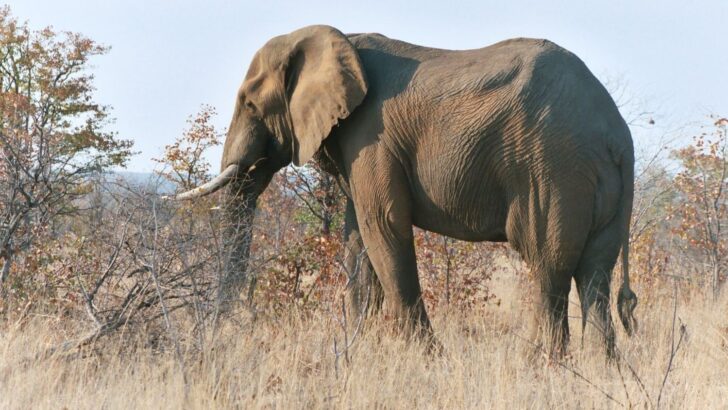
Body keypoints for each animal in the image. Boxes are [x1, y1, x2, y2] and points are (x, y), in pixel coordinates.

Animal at [173, 25, 638, 358]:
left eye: (250, 105)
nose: (225, 335)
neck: (332, 38)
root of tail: (618, 135)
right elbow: (358, 238)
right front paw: (358, 352)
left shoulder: (372, 136)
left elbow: (383, 226)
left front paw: (429, 359)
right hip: (594, 181)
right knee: (595, 274)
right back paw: (600, 370)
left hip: (553, 168)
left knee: (549, 266)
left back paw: (541, 367)